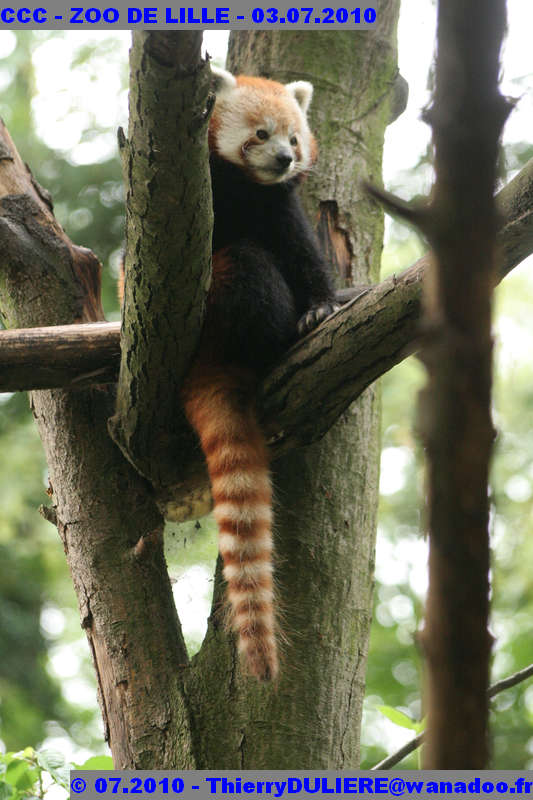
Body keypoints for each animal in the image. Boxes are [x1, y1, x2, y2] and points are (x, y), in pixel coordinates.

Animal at [180, 69, 336, 680]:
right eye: (261, 134)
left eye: (294, 138)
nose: (285, 159)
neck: (247, 188)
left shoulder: (281, 209)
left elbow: (306, 257)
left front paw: (321, 307)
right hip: (217, 307)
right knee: (248, 266)